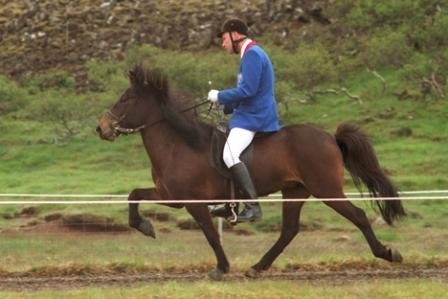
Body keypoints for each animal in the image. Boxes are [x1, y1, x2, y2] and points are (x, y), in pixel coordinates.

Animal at [97, 65, 406, 282]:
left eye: (126, 99)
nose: (101, 128)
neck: (180, 143)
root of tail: (330, 137)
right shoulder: (171, 196)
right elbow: (133, 195)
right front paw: (144, 226)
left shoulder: (193, 202)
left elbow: (211, 235)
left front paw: (221, 268)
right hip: (295, 190)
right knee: (289, 230)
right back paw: (258, 267)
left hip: (326, 189)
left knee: (358, 216)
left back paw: (387, 253)